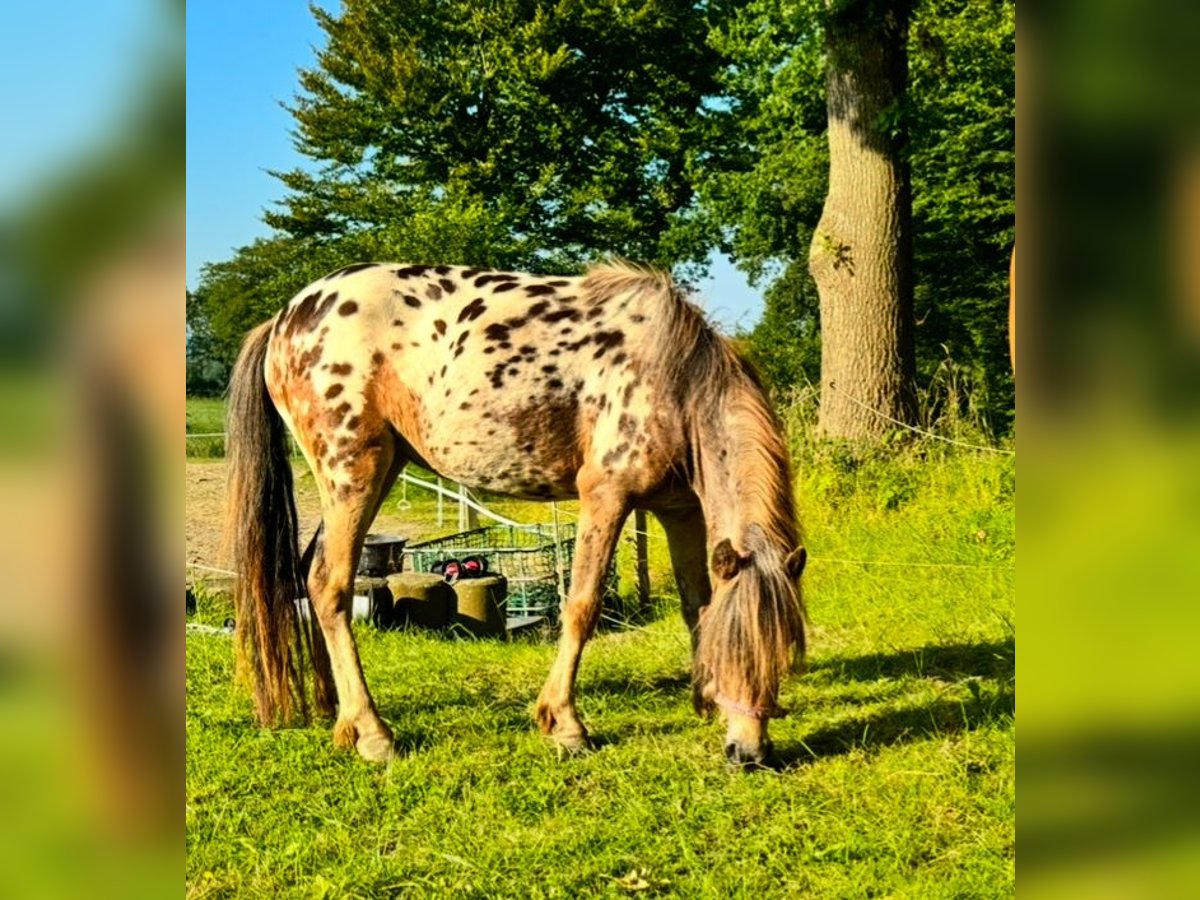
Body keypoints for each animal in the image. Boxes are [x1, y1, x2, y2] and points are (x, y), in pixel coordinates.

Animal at [224, 259, 806, 768]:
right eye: (741, 649)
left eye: (781, 654)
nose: (750, 754)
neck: (672, 376)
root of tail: (286, 319)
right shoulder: (606, 497)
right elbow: (582, 606)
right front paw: (565, 725)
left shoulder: (679, 510)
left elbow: (697, 606)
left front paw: (702, 699)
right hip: (354, 475)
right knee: (331, 586)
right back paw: (373, 733)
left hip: (370, 475)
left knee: (313, 579)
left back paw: (340, 716)